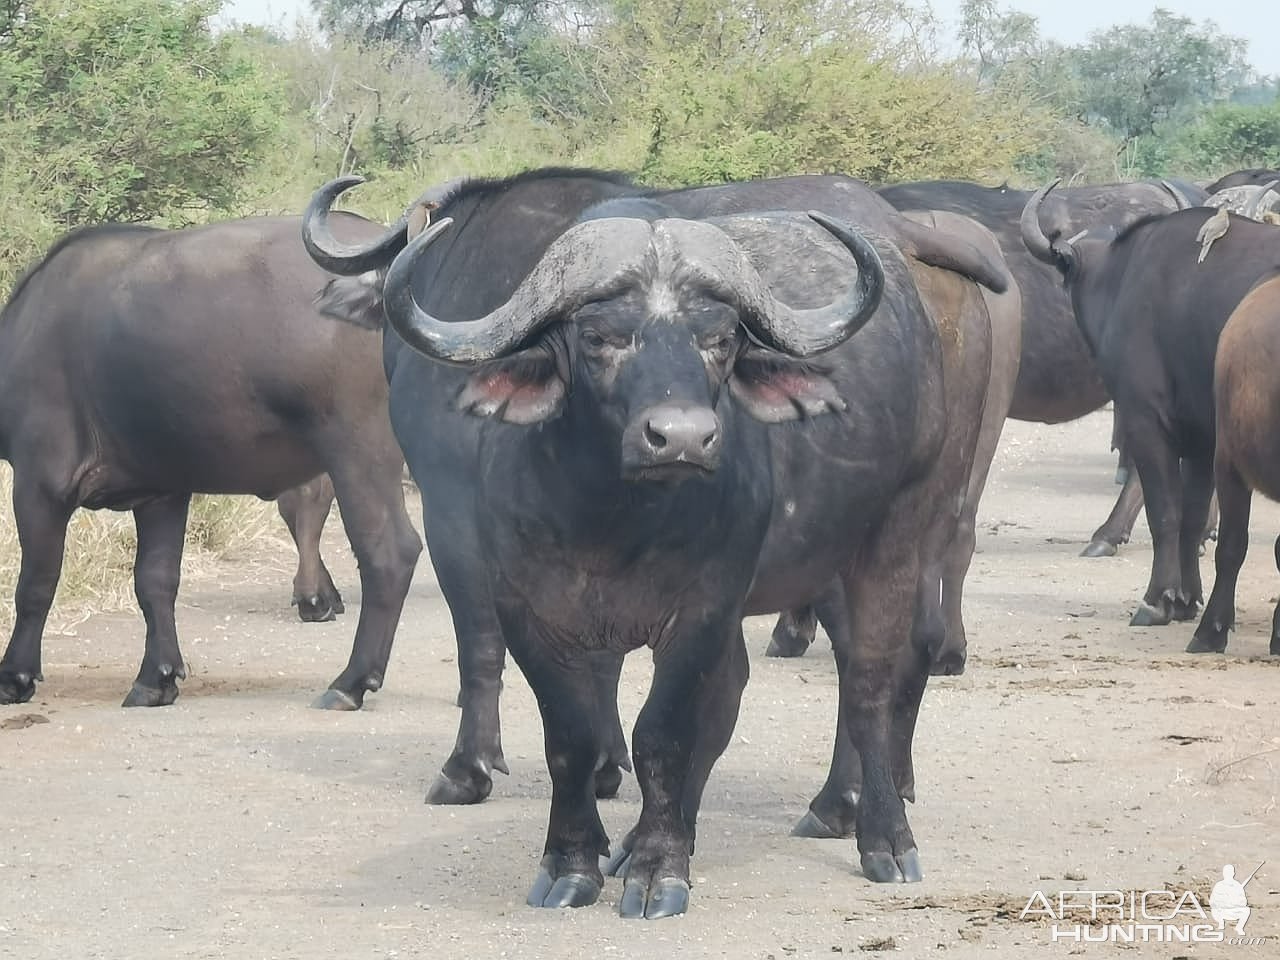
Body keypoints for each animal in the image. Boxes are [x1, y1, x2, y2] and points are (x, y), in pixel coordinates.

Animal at [0, 213, 419, 706]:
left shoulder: (40, 483)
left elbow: (36, 583)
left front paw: (15, 676)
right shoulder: (162, 493)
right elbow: (156, 580)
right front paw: (156, 677)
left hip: (359, 452)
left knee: (389, 552)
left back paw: (350, 681)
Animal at [304, 172, 1003, 916]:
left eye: (719, 339)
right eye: (598, 336)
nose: (683, 437)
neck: (611, 520)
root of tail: (903, 238)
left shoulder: (684, 605)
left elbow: (657, 729)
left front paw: (651, 863)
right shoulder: (532, 606)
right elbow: (573, 733)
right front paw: (575, 858)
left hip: (900, 530)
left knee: (870, 676)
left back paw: (882, 834)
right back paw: (809, 810)